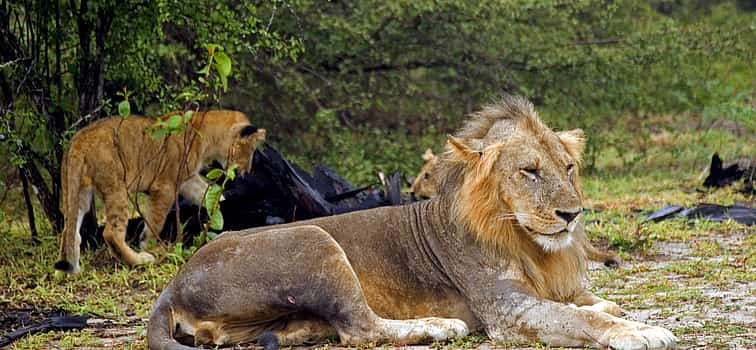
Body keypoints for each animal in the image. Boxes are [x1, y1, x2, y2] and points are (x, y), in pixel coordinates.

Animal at [54, 110, 266, 274]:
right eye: (250, 151)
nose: (246, 172)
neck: (205, 131)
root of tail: (79, 140)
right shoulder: (165, 186)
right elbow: (156, 222)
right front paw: (153, 248)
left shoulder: (187, 180)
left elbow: (208, 196)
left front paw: (224, 212)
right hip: (117, 188)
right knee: (111, 233)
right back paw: (141, 260)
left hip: (77, 191)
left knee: (69, 231)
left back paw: (71, 271)